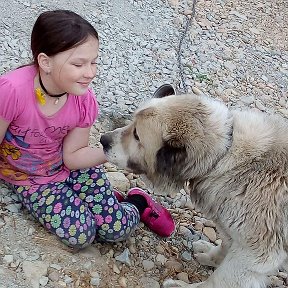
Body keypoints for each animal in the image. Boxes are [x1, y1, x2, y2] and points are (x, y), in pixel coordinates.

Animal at [99, 90, 288, 288]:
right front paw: (211, 256)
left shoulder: (255, 253)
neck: (221, 156)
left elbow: (218, 279)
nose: (103, 140)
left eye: (137, 135)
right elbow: (225, 245)